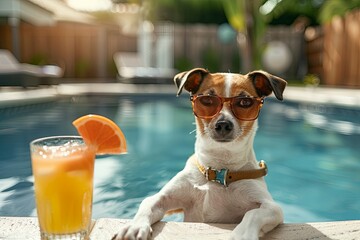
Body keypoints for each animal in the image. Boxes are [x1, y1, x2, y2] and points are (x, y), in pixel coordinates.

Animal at [112, 68, 286, 240]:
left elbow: (253, 214)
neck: (218, 171)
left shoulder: (271, 207)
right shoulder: (163, 198)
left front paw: (242, 234)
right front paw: (134, 226)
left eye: (244, 102)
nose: (223, 124)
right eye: (207, 100)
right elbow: (147, 204)